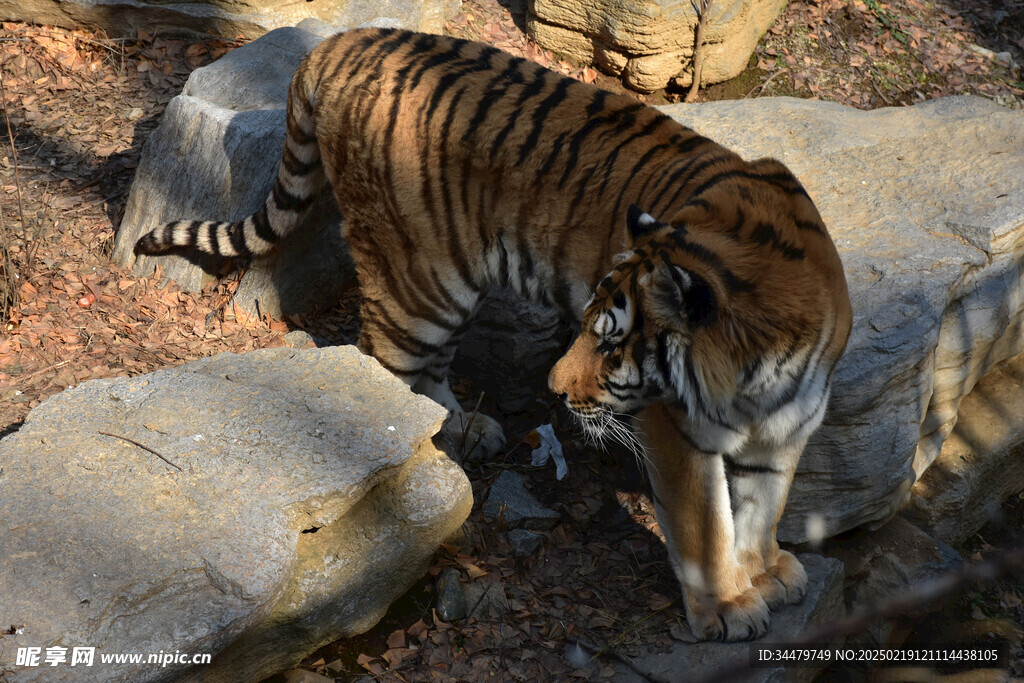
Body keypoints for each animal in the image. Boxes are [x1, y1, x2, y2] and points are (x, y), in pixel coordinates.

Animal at [136, 26, 856, 643]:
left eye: (611, 341)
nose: (555, 391)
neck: (761, 359)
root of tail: (343, 40)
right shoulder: (676, 427)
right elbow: (706, 524)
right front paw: (730, 607)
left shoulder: (787, 424)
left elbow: (763, 505)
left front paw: (768, 569)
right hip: (418, 283)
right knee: (384, 371)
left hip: (446, 283)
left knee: (428, 372)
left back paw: (462, 430)